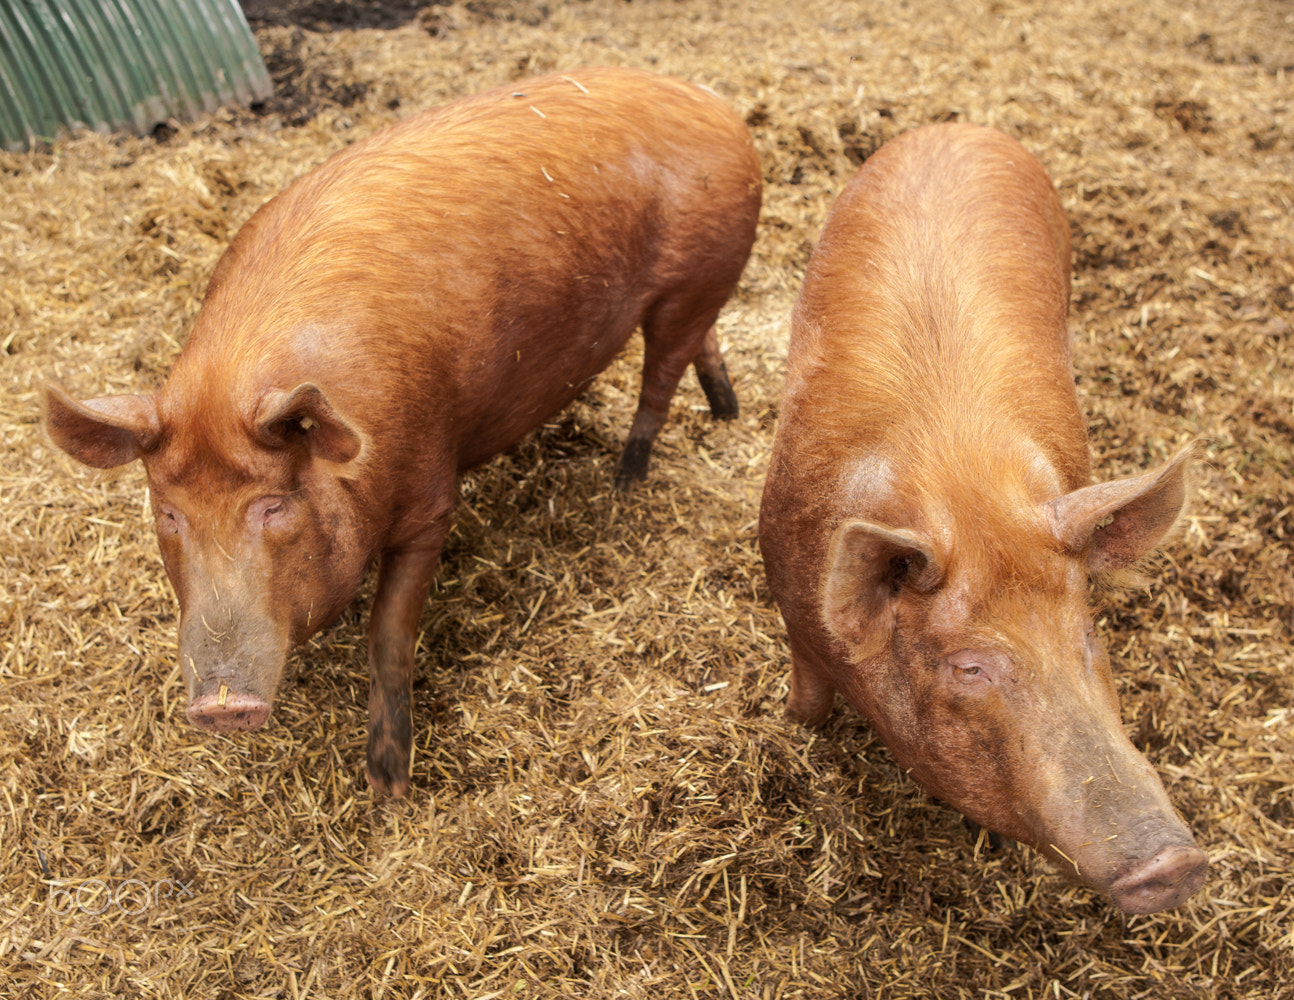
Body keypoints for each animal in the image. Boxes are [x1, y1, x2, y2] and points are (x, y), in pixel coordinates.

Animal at [44, 66, 761, 797]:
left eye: (274, 506)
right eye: (168, 514)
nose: (222, 705)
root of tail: (713, 104)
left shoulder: (430, 498)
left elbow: (388, 633)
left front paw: (389, 783)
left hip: (697, 277)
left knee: (660, 378)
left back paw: (627, 478)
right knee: (701, 347)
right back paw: (725, 411)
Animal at [758, 122, 1206, 914]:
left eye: (1088, 633)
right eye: (969, 665)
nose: (1176, 864)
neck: (965, 495)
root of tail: (959, 127)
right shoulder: (791, 603)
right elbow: (807, 701)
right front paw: (793, 728)